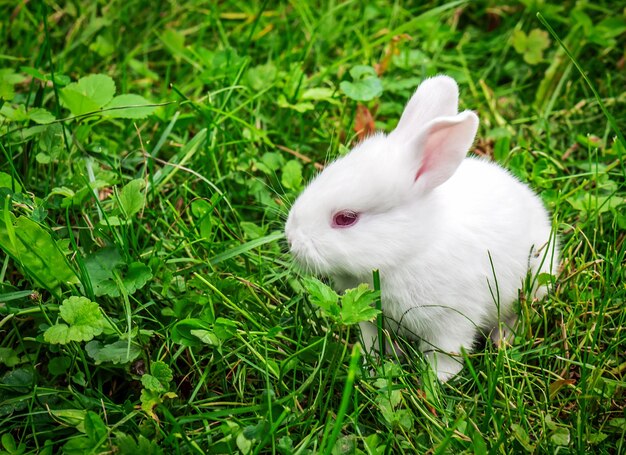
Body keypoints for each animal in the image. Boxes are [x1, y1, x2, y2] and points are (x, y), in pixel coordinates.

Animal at [282, 75, 556, 382]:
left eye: (346, 218)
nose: (291, 239)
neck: (411, 249)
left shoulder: (451, 320)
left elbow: (445, 354)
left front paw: (434, 381)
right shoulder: (370, 318)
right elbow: (372, 342)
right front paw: (371, 366)